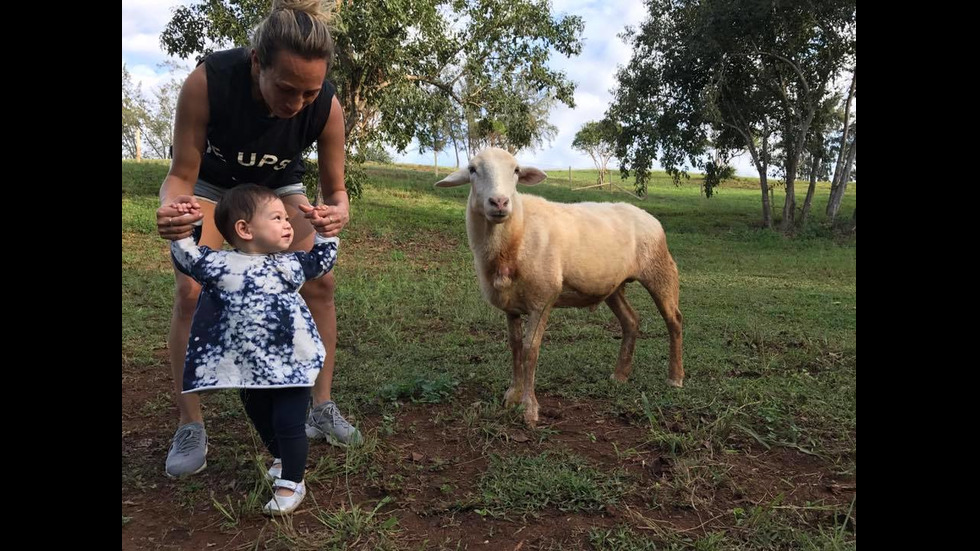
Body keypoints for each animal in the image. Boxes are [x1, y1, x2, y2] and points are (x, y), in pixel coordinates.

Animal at [434, 148, 680, 426]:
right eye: (472, 169)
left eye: (516, 170)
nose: (499, 202)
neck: (516, 235)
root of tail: (646, 215)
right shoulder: (510, 305)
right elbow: (515, 347)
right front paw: (512, 396)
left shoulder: (543, 299)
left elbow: (530, 350)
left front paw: (529, 409)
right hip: (613, 285)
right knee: (631, 321)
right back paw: (620, 376)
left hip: (659, 268)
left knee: (674, 321)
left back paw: (675, 377)